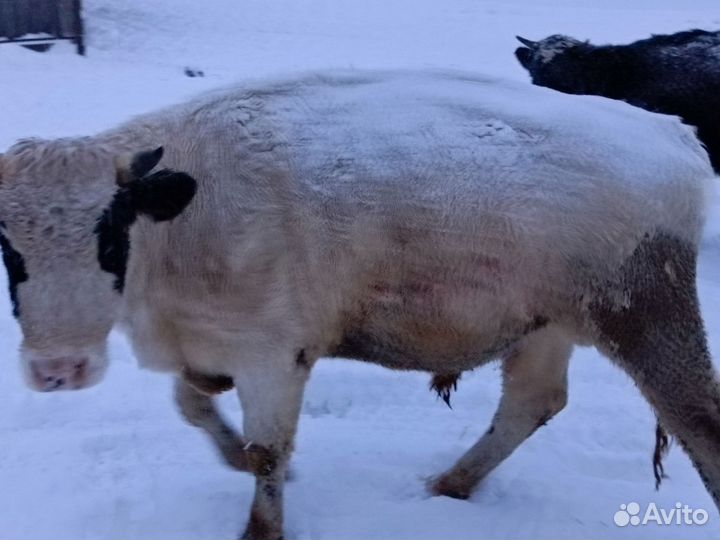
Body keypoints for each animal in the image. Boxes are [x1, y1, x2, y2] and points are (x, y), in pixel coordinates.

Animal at [0, 70, 718, 539]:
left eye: (111, 230)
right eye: (7, 245)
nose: (58, 369)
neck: (184, 220)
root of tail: (669, 132)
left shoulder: (273, 357)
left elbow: (268, 452)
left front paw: (262, 524)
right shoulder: (203, 347)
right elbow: (194, 407)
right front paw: (235, 457)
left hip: (648, 318)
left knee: (699, 423)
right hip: (548, 324)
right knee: (531, 403)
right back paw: (451, 484)